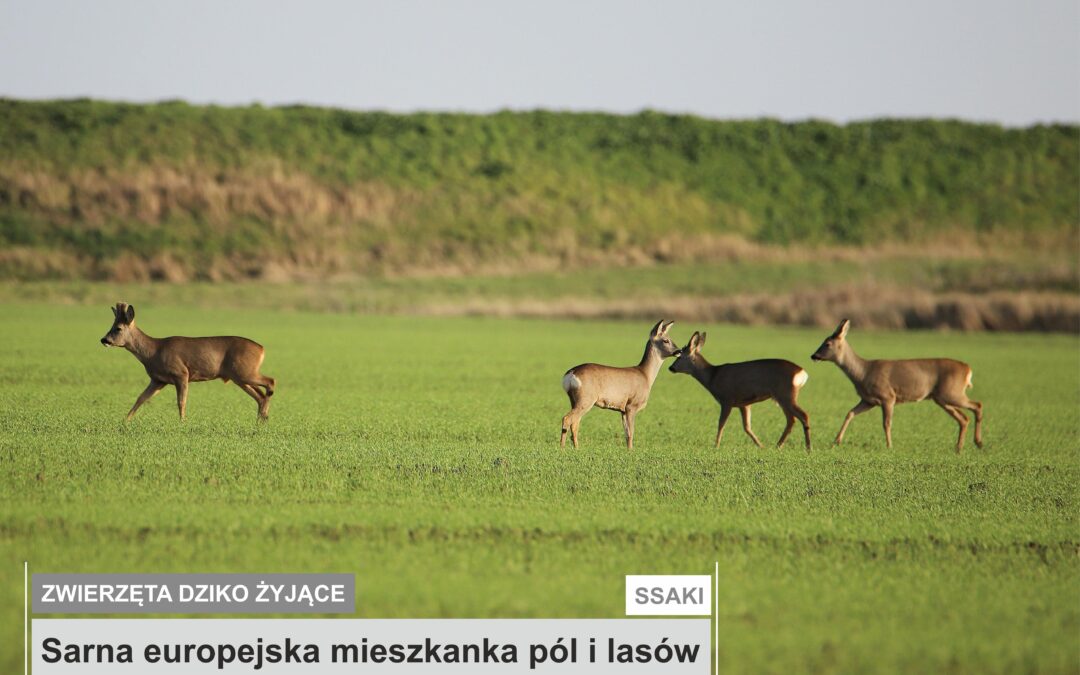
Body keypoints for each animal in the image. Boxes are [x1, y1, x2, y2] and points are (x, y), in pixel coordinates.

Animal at [100, 302, 276, 419]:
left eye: (118, 328)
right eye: (111, 326)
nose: (104, 340)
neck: (153, 352)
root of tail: (262, 349)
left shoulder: (181, 373)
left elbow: (181, 401)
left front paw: (182, 423)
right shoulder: (158, 380)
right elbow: (140, 399)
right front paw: (124, 422)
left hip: (245, 371)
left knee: (270, 382)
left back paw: (264, 416)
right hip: (239, 376)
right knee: (260, 396)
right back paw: (261, 420)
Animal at [561, 319, 678, 449]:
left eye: (670, 338)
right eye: (666, 340)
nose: (679, 351)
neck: (645, 375)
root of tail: (571, 373)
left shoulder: (623, 409)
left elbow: (626, 433)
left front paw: (628, 450)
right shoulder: (631, 405)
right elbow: (631, 432)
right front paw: (631, 450)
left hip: (574, 400)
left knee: (575, 423)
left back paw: (576, 448)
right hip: (586, 399)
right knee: (567, 419)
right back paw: (562, 448)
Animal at [665, 330, 812, 447]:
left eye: (680, 356)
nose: (671, 368)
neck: (713, 377)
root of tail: (802, 373)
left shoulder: (727, 399)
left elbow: (721, 423)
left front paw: (716, 445)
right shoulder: (744, 403)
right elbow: (747, 427)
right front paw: (760, 446)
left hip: (785, 394)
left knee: (803, 415)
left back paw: (807, 447)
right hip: (782, 397)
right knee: (792, 419)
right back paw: (778, 445)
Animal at [812, 317, 984, 453]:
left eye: (827, 343)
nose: (813, 355)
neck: (863, 373)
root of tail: (967, 369)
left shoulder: (888, 396)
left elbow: (886, 423)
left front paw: (889, 446)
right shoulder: (868, 400)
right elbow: (850, 413)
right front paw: (836, 441)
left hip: (952, 392)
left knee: (977, 405)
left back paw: (978, 442)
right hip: (942, 398)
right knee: (964, 418)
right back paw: (960, 448)